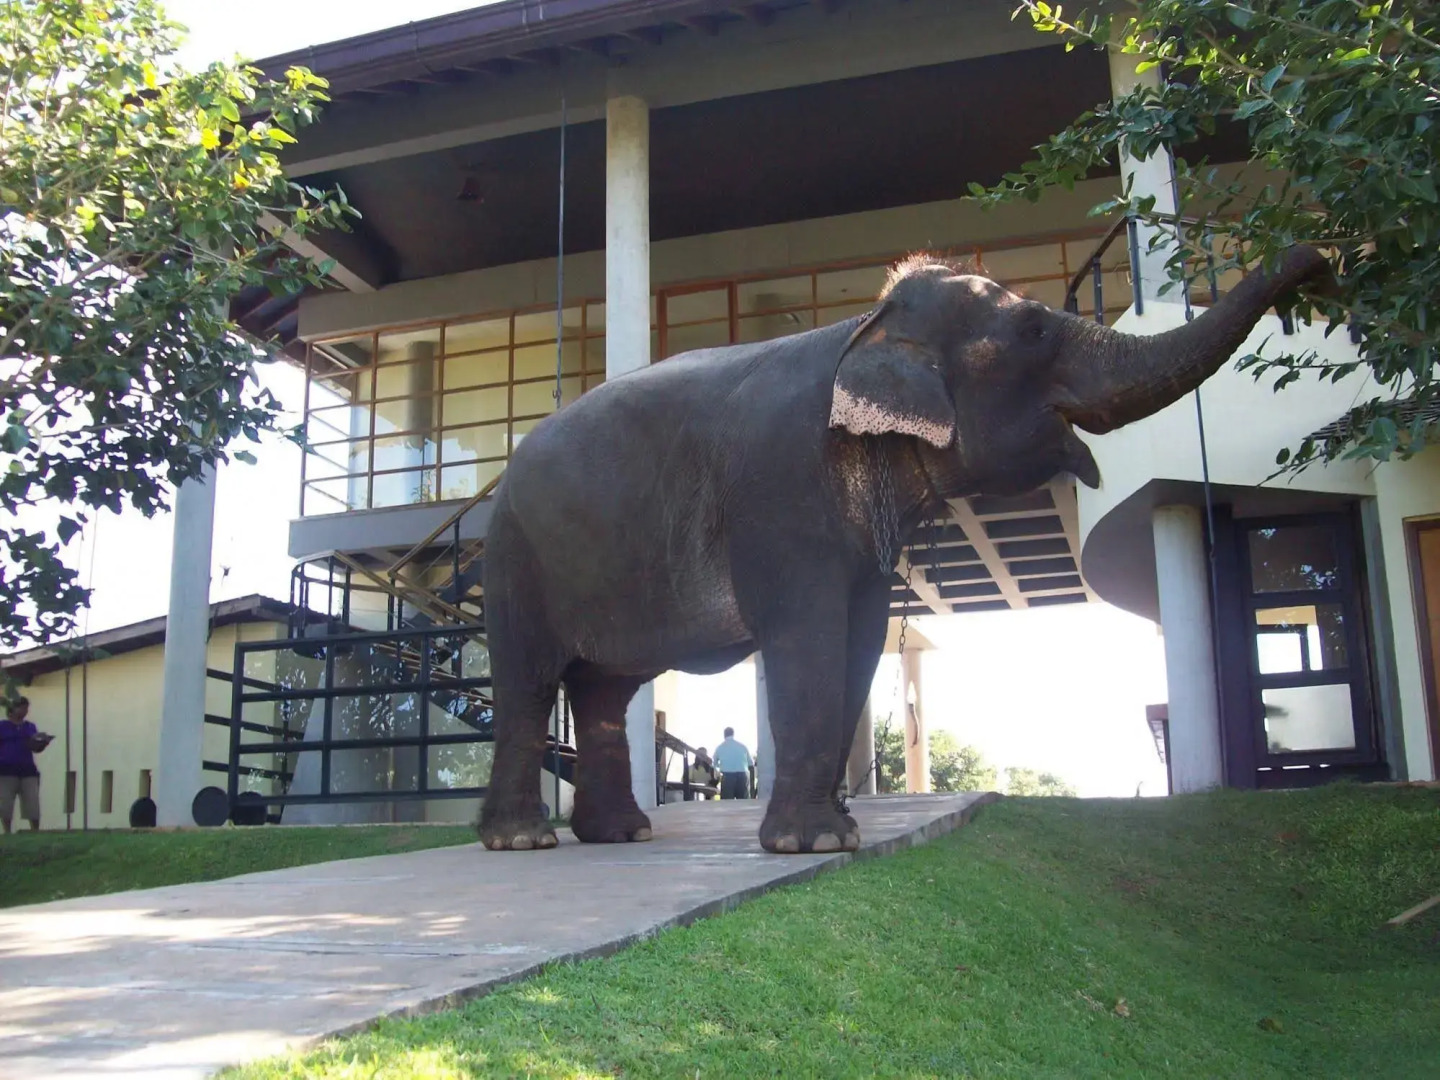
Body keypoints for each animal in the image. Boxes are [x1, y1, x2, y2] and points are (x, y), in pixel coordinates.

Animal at [477, 244, 1332, 854]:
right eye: (1034, 329)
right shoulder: (780, 494)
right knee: (530, 682)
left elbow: (859, 638)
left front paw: (837, 834)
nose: (1318, 259)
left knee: (603, 691)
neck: (865, 326)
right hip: (513, 557)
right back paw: (523, 841)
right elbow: (808, 636)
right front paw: (812, 845)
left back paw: (620, 834)